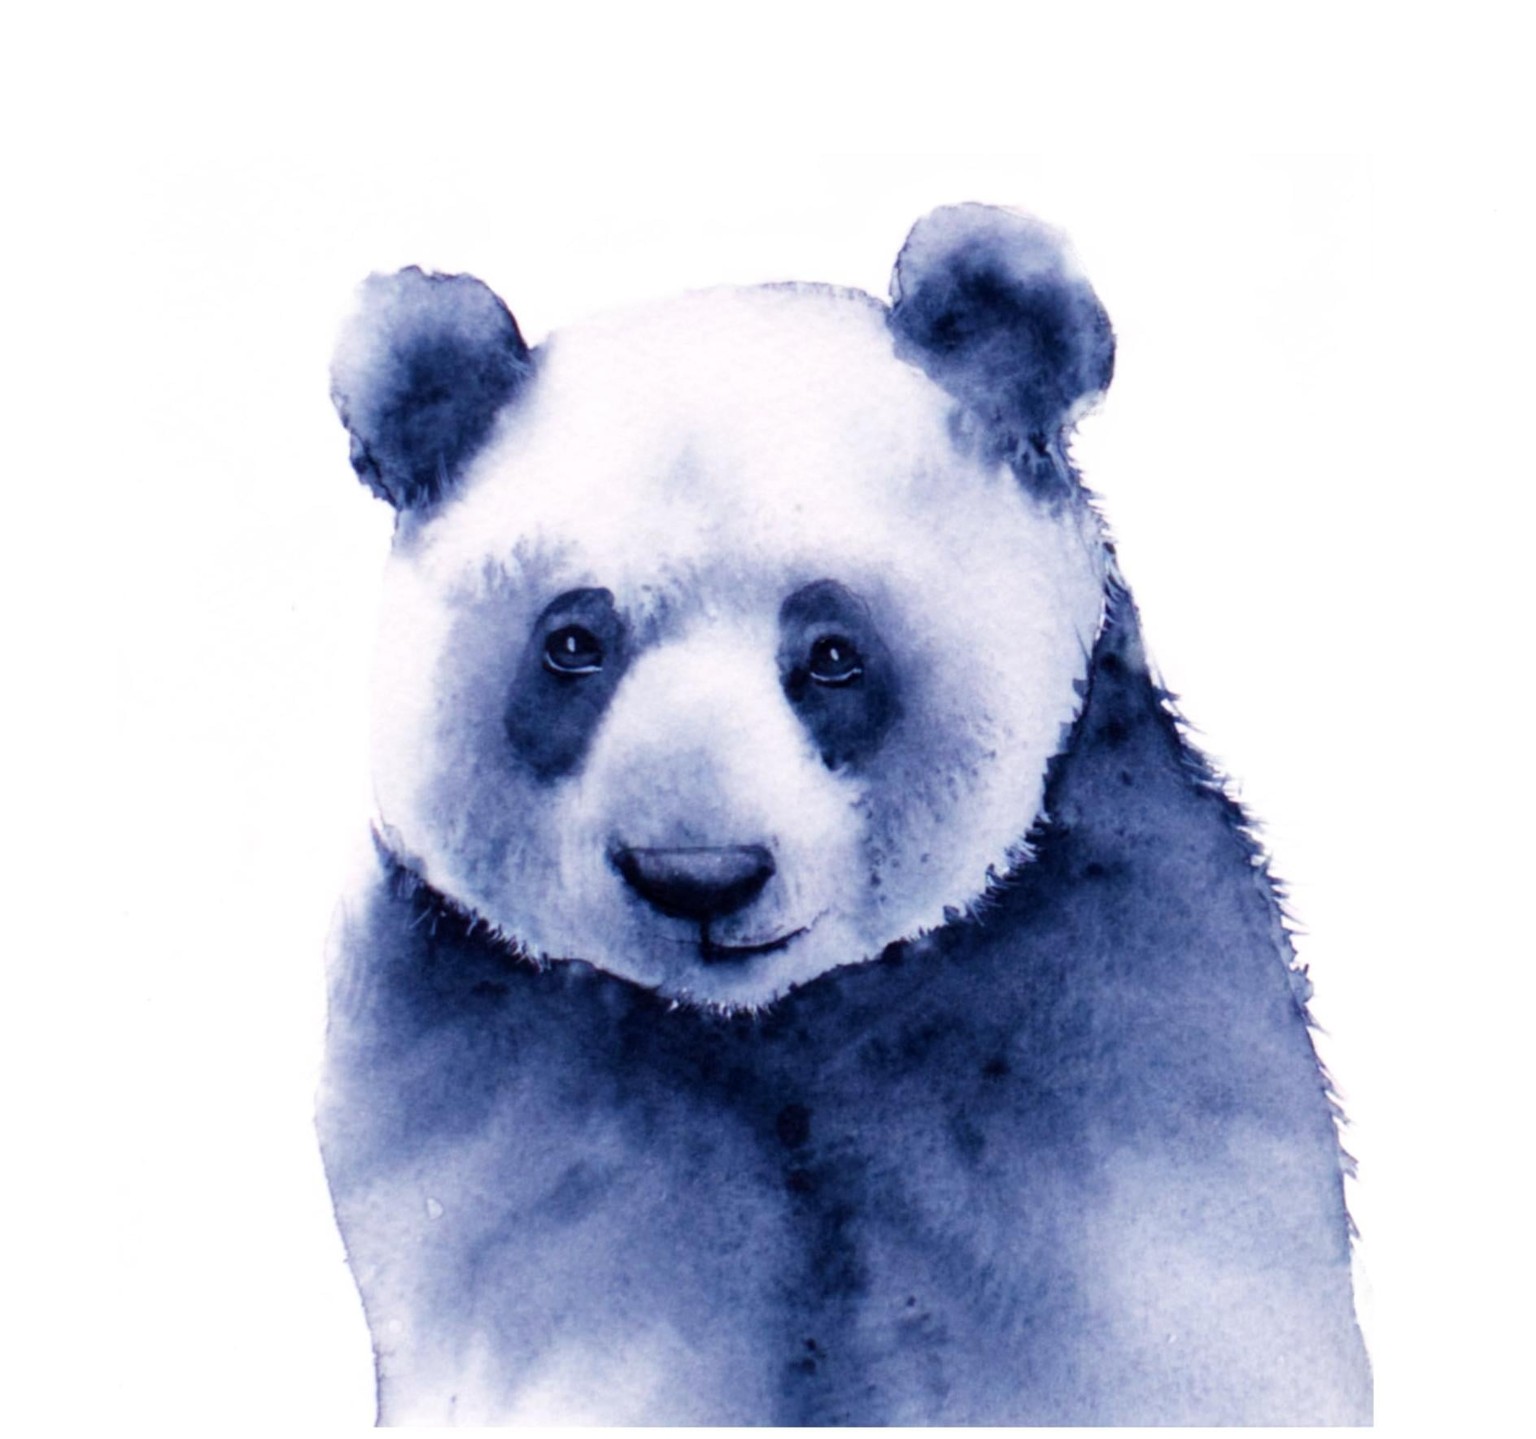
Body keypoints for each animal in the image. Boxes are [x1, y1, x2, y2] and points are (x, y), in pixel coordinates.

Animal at [317, 205, 1371, 1425]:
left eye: (831, 653)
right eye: (572, 641)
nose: (698, 874)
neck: (774, 1038)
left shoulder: (1114, 1018)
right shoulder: (497, 1086)